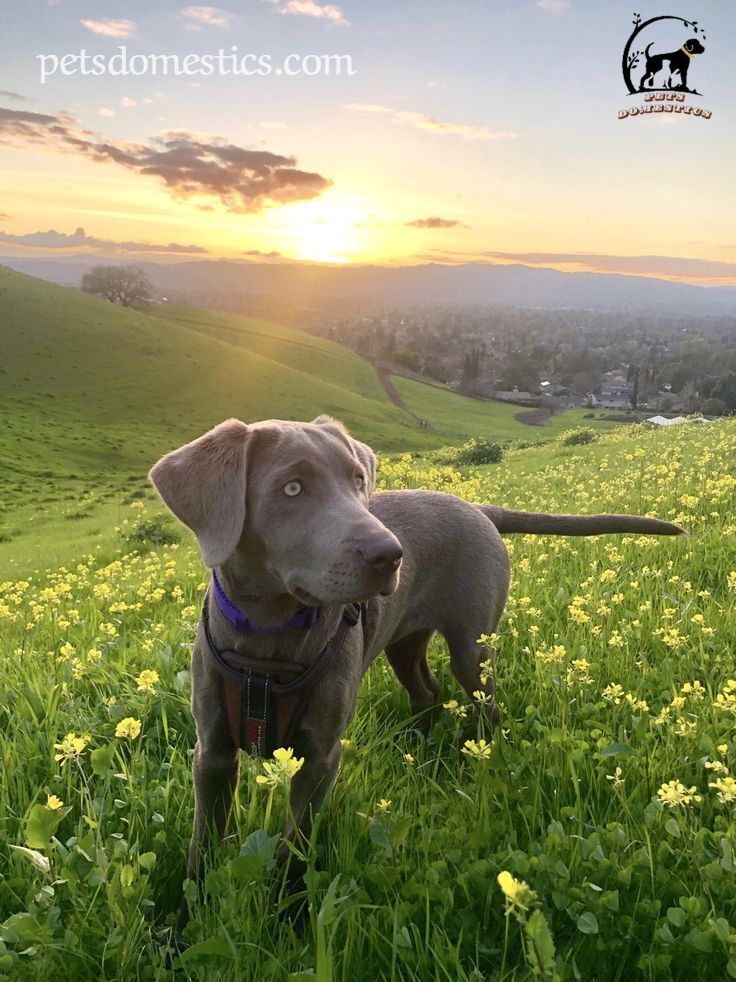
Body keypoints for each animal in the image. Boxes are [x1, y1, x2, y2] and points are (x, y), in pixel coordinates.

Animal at [148, 418, 684, 936]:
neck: (269, 640)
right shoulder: (212, 752)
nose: (390, 554)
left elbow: (294, 847)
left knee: (484, 705)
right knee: (426, 690)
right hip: (404, 643)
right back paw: (418, 745)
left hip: (472, 648)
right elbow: (202, 845)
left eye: (357, 480)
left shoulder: (320, 756)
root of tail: (478, 508)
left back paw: (481, 760)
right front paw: (184, 926)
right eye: (292, 488)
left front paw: (286, 918)